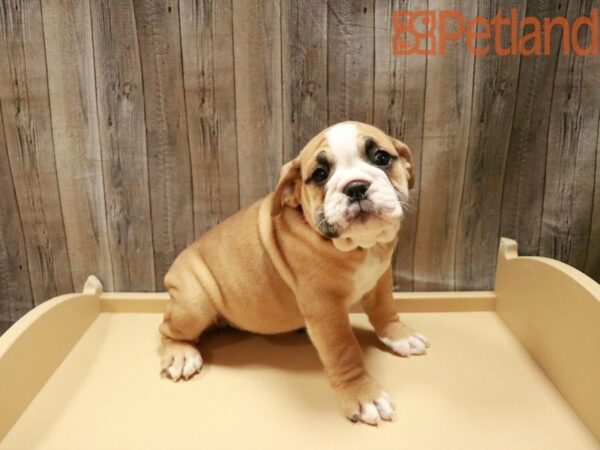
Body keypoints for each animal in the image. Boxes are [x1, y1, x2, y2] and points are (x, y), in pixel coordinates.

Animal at [159, 120, 428, 426]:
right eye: (320, 174)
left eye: (381, 158)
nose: (356, 186)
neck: (360, 247)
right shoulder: (326, 311)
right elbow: (345, 351)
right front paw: (363, 395)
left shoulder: (381, 279)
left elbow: (385, 310)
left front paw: (400, 336)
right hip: (194, 304)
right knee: (167, 329)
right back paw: (181, 354)